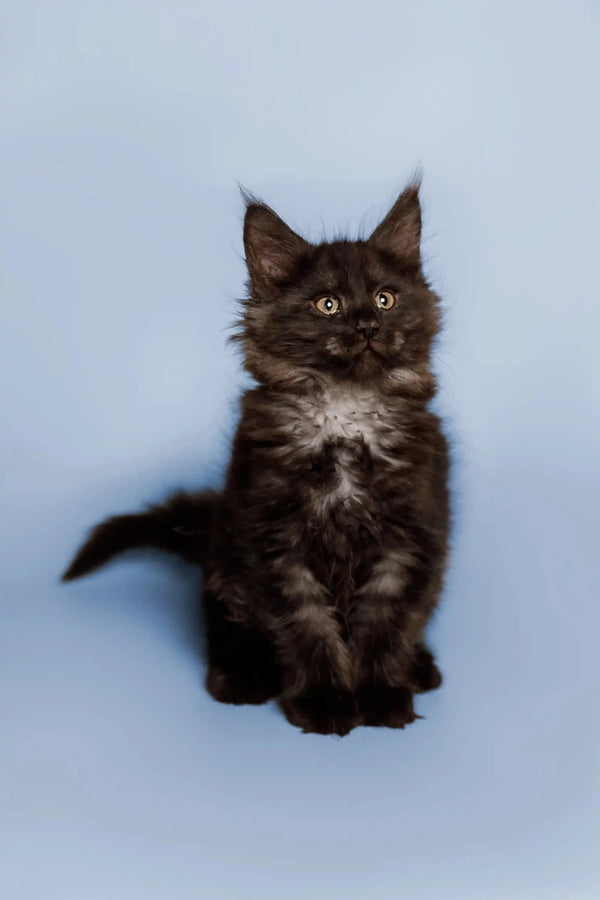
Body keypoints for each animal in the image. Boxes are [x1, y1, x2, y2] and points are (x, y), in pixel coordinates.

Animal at [64, 179, 450, 736]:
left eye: (386, 298)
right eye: (328, 304)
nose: (367, 325)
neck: (345, 412)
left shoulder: (409, 540)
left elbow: (387, 623)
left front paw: (380, 694)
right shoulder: (275, 543)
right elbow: (309, 626)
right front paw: (324, 701)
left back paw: (420, 667)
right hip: (228, 562)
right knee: (224, 625)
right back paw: (240, 676)